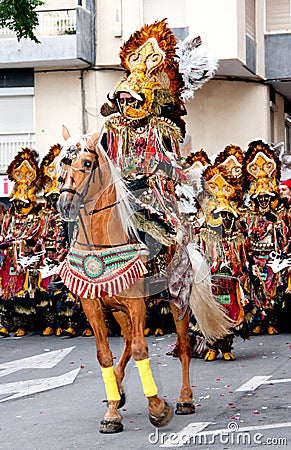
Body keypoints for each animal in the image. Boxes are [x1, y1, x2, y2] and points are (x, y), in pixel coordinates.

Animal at [56, 125, 235, 434]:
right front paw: (112, 413)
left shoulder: (137, 304)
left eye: (87, 163)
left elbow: (141, 350)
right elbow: (105, 354)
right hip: (118, 309)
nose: (65, 204)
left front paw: (157, 408)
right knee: (128, 340)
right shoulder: (94, 305)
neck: (100, 242)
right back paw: (117, 391)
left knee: (183, 347)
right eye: (63, 163)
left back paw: (184, 400)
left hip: (177, 299)